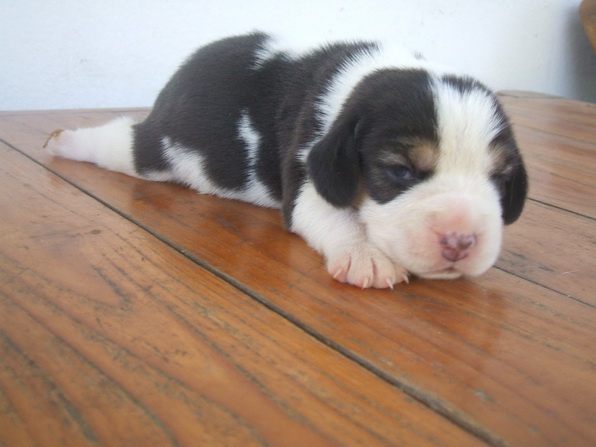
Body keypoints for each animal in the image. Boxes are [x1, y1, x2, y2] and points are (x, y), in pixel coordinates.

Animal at [45, 32, 528, 289]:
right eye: (400, 171)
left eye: (498, 179)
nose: (461, 241)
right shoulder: (306, 177)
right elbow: (337, 216)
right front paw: (366, 255)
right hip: (154, 149)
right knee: (115, 142)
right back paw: (63, 140)